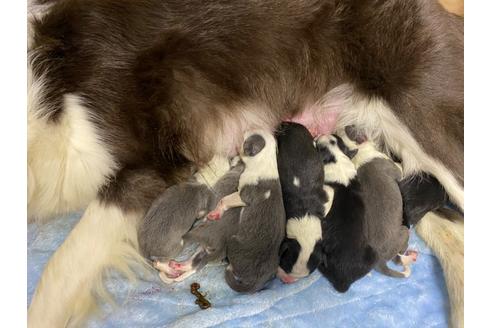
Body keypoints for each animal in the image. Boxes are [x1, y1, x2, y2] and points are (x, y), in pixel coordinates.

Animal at [207, 129, 284, 294]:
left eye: (245, 138)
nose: (244, 130)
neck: (266, 162)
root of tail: (259, 280)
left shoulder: (243, 194)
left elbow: (225, 200)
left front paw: (216, 212)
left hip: (232, 242)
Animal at [316, 135, 376, 294]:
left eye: (319, 148)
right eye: (338, 139)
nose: (319, 135)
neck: (336, 157)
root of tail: (344, 282)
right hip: (373, 254)